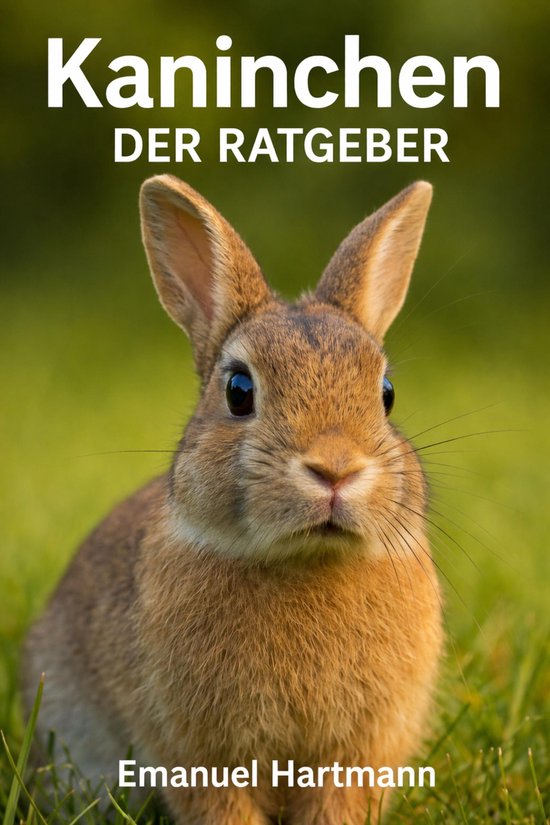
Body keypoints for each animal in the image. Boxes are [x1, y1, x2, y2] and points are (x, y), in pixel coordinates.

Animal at [23, 174, 443, 825]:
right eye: (239, 391)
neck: (307, 562)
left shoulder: (357, 751)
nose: (336, 468)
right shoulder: (201, 753)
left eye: (387, 394)